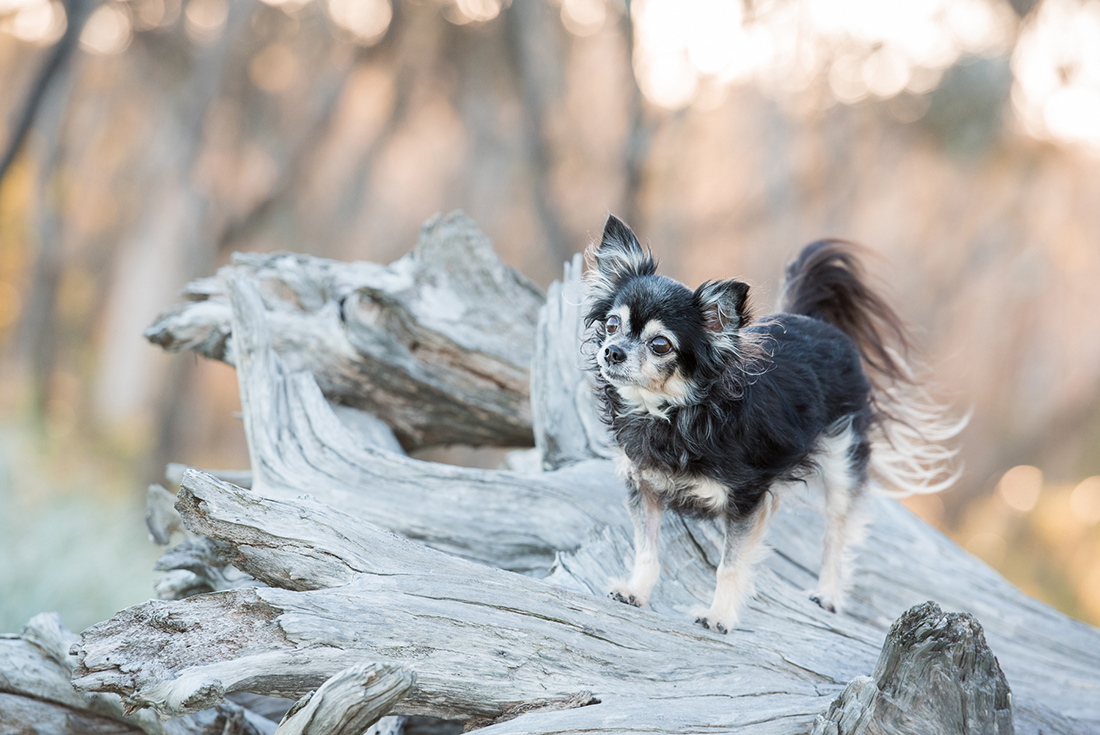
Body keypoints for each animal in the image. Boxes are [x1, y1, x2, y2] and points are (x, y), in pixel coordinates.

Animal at [585, 213, 963, 633]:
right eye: (613, 324)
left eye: (660, 345)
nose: (611, 352)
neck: (672, 412)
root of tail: (814, 321)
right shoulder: (645, 488)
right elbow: (646, 550)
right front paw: (636, 591)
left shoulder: (745, 502)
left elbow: (730, 566)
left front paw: (718, 616)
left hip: (842, 461)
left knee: (836, 534)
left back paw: (827, 594)